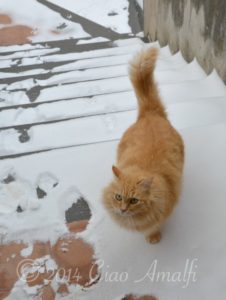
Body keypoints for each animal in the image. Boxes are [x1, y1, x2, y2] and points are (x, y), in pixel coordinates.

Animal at [102, 47, 184, 244]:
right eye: (118, 197)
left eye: (134, 200)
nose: (122, 209)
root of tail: (150, 113)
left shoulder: (162, 211)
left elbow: (154, 226)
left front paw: (153, 237)